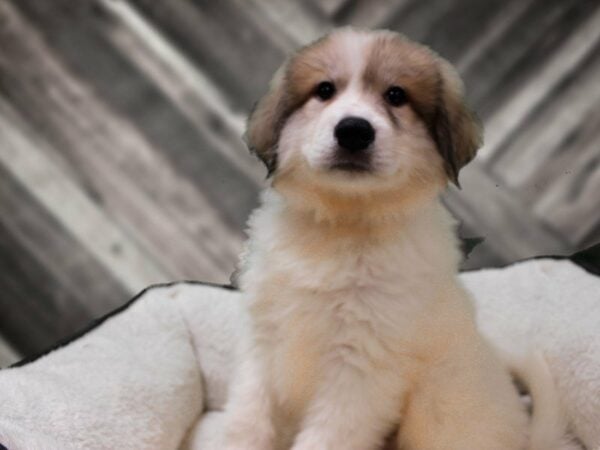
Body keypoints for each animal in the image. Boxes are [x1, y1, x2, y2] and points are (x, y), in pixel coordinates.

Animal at [221, 28, 576, 450]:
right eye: (324, 90)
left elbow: (325, 437)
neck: (344, 225)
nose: (354, 130)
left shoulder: (360, 371)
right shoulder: (261, 346)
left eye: (396, 95)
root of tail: (525, 439)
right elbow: (245, 420)